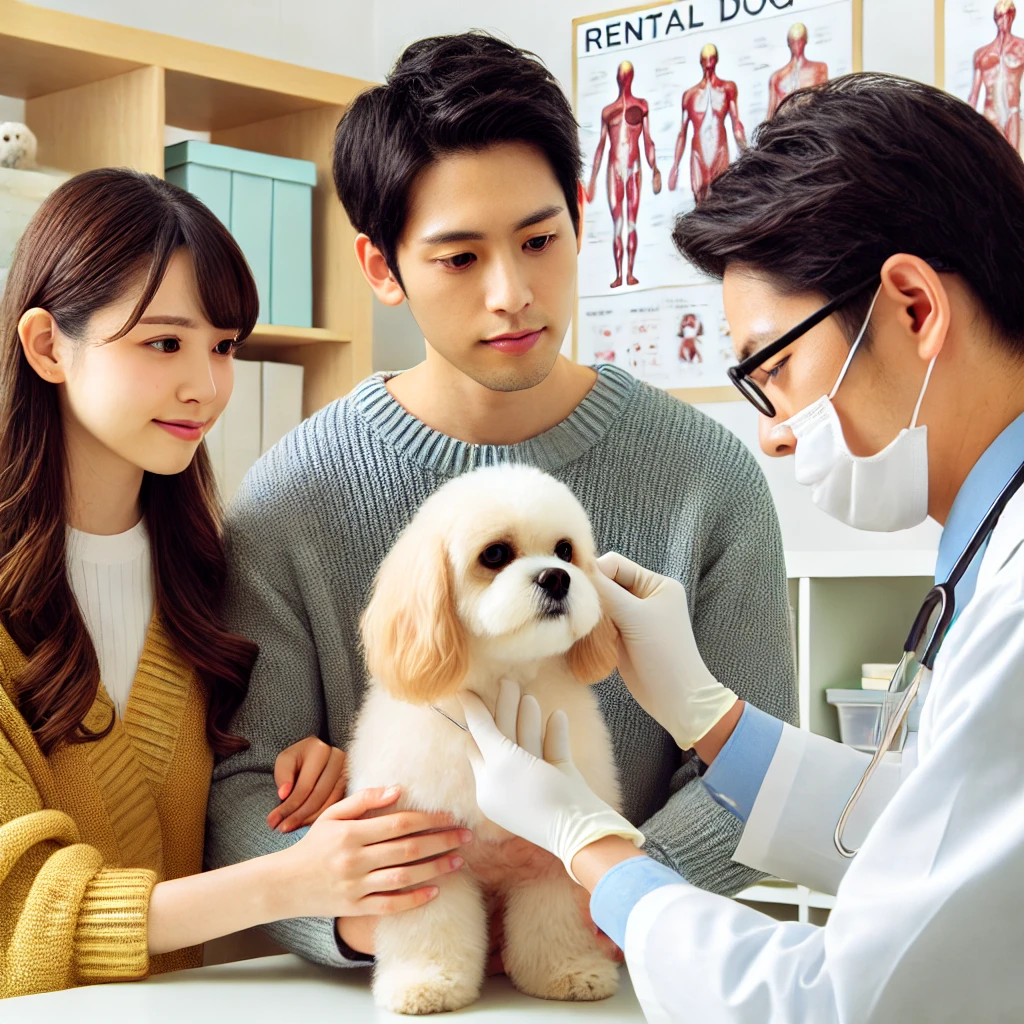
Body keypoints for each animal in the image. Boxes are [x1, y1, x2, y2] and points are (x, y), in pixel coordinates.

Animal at [348, 466, 618, 1015]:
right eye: (494, 554)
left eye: (565, 550)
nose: (557, 577)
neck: (499, 693)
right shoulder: (423, 851)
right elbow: (431, 927)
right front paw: (426, 982)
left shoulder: (551, 852)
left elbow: (555, 919)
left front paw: (566, 971)